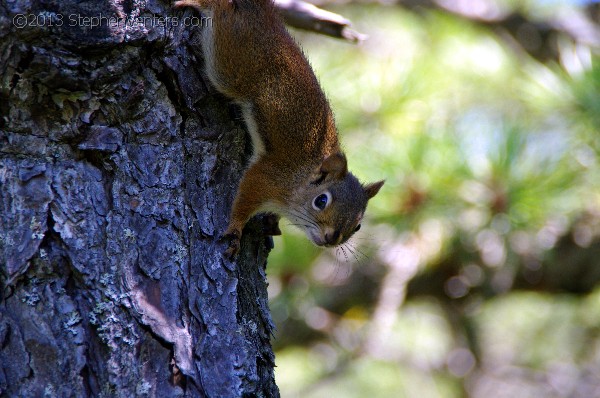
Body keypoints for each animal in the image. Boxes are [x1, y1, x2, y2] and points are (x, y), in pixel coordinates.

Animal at [173, 0, 384, 258]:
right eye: (321, 201)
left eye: (358, 225)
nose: (332, 239)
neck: (300, 179)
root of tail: (267, 17)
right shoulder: (267, 177)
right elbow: (243, 201)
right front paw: (235, 231)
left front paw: (272, 222)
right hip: (229, 62)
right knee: (223, 12)